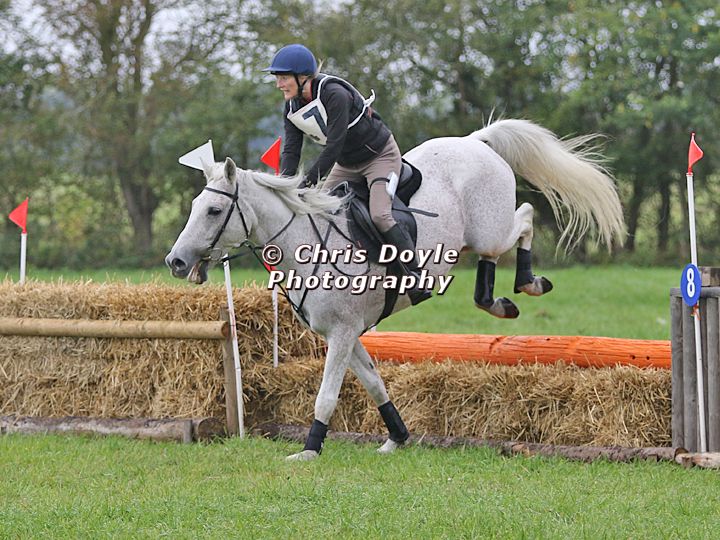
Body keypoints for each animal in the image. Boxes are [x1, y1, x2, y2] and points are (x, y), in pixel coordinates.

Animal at [165, 119, 625, 460]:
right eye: (195, 207)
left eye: (214, 210)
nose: (176, 262)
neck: (306, 240)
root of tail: (474, 142)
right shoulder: (344, 334)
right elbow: (374, 383)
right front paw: (397, 437)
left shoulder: (342, 333)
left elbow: (326, 396)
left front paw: (310, 449)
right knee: (499, 253)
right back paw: (496, 301)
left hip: (490, 229)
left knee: (525, 218)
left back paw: (529, 282)